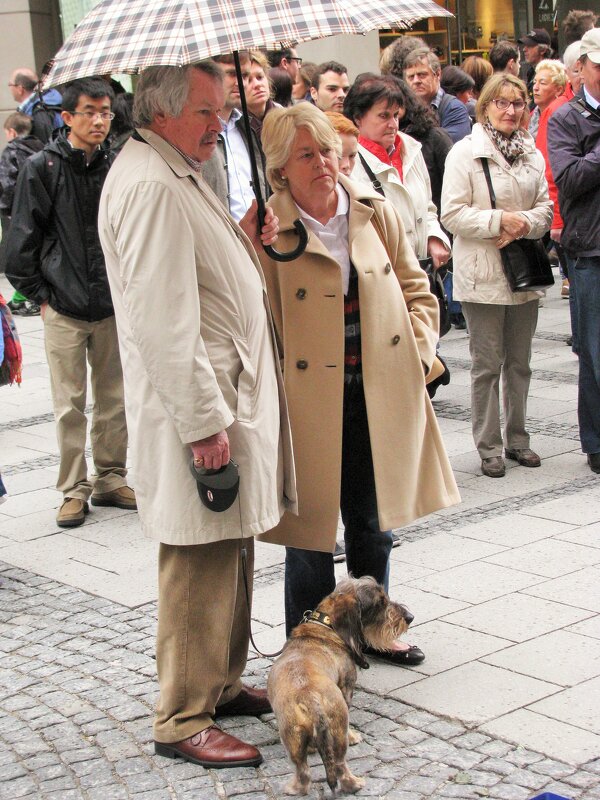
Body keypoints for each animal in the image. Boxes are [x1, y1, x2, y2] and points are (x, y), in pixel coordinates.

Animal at [268, 576, 412, 792]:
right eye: (380, 602)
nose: (409, 617)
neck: (323, 628)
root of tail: (311, 700)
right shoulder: (347, 687)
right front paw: (353, 736)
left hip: (291, 735)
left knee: (303, 771)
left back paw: (294, 789)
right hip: (337, 730)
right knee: (339, 764)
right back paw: (355, 783)